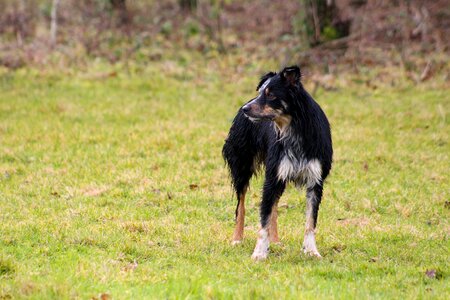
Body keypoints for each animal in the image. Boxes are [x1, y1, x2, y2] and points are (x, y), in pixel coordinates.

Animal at [223, 65, 332, 260]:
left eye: (271, 94)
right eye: (260, 92)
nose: (245, 109)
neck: (295, 129)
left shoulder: (315, 181)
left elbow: (310, 221)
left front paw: (311, 251)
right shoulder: (272, 177)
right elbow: (263, 219)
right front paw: (259, 253)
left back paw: (275, 242)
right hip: (242, 166)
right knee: (241, 206)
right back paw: (237, 238)